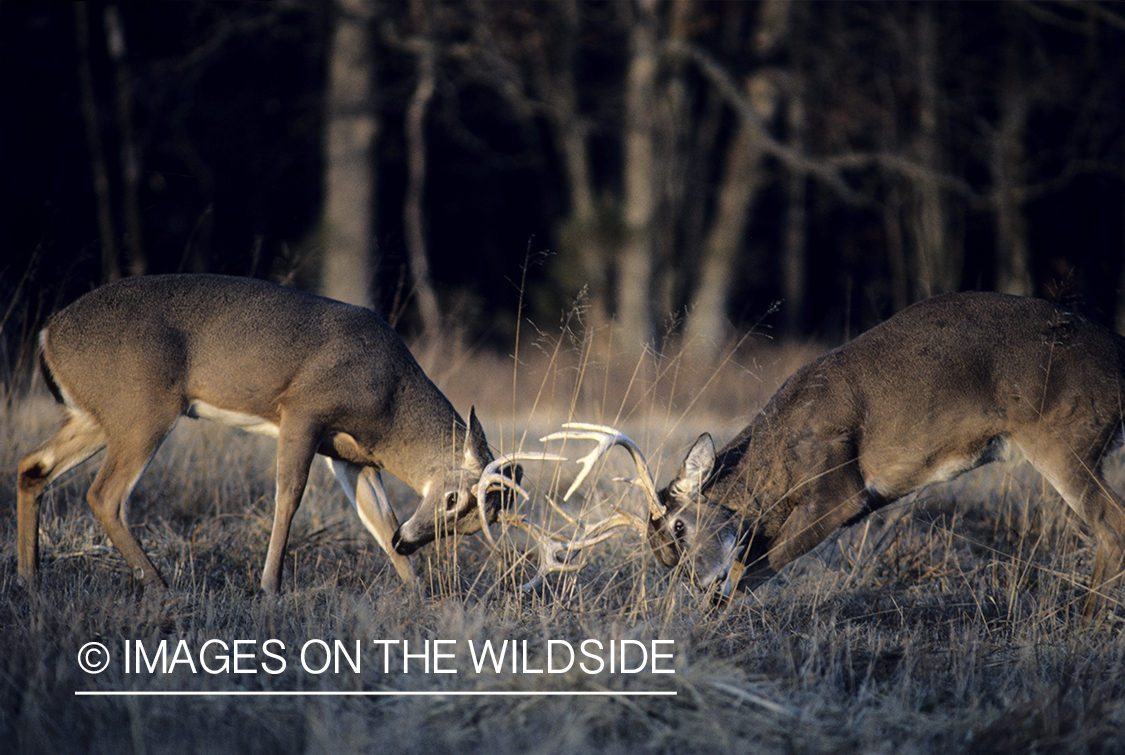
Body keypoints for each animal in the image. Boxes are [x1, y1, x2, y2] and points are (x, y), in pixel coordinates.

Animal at [16, 274, 540, 594]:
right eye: (453, 500)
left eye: (472, 528)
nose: (409, 543)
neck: (387, 404)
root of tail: (47, 334)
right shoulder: (302, 411)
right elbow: (289, 496)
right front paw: (269, 586)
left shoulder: (351, 456)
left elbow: (378, 517)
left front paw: (418, 594)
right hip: (142, 408)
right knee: (104, 494)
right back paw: (160, 585)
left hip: (95, 416)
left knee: (32, 467)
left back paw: (31, 580)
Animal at [544, 292, 1125, 616]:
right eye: (662, 557)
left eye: (681, 526)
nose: (695, 581)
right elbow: (748, 568)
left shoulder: (839, 488)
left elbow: (751, 572)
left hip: (1065, 433)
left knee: (1111, 524)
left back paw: (1083, 629)